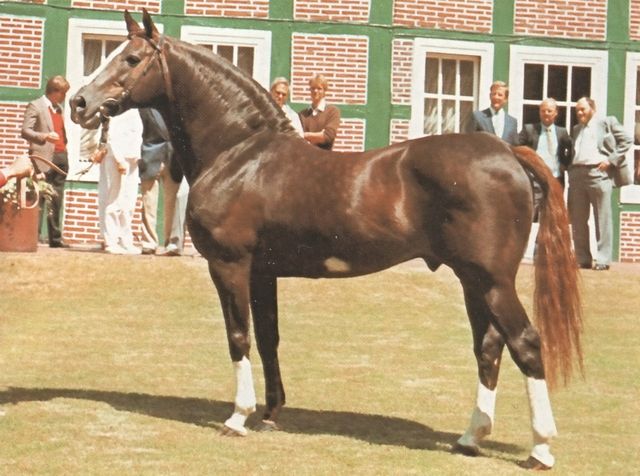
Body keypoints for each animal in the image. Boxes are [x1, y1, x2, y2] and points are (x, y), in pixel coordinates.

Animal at [69, 10, 582, 469]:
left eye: (132, 58)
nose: (79, 103)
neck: (241, 153)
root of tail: (507, 152)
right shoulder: (263, 273)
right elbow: (269, 337)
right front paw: (270, 413)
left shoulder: (230, 265)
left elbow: (238, 335)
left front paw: (237, 417)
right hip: (473, 281)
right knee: (489, 347)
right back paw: (471, 438)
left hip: (492, 281)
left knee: (525, 343)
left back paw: (540, 449)